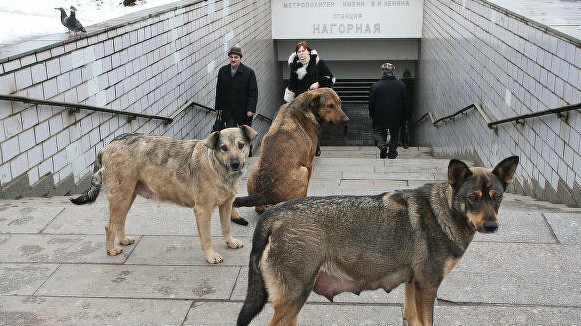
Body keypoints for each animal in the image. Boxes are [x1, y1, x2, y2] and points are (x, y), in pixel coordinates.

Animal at [69, 126, 256, 264]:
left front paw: (230, 242)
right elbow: (207, 237)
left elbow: (226, 227)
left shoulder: (226, 204)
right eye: (223, 148)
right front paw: (210, 256)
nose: (235, 164)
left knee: (119, 221)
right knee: (109, 226)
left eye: (241, 145)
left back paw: (123, 240)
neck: (216, 166)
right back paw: (111, 250)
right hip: (120, 196)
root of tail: (107, 146)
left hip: (128, 196)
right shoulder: (202, 210)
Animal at [232, 86, 348, 214]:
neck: (301, 106)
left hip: (254, 168)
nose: (347, 120)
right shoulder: (309, 163)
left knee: (259, 208)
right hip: (303, 171)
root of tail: (264, 193)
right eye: (330, 105)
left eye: (340, 102)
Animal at [238, 157, 520, 324]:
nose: (492, 226)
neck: (443, 212)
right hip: (294, 297)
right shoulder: (428, 286)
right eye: (473, 197)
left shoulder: (414, 285)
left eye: (497, 197)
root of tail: (273, 214)